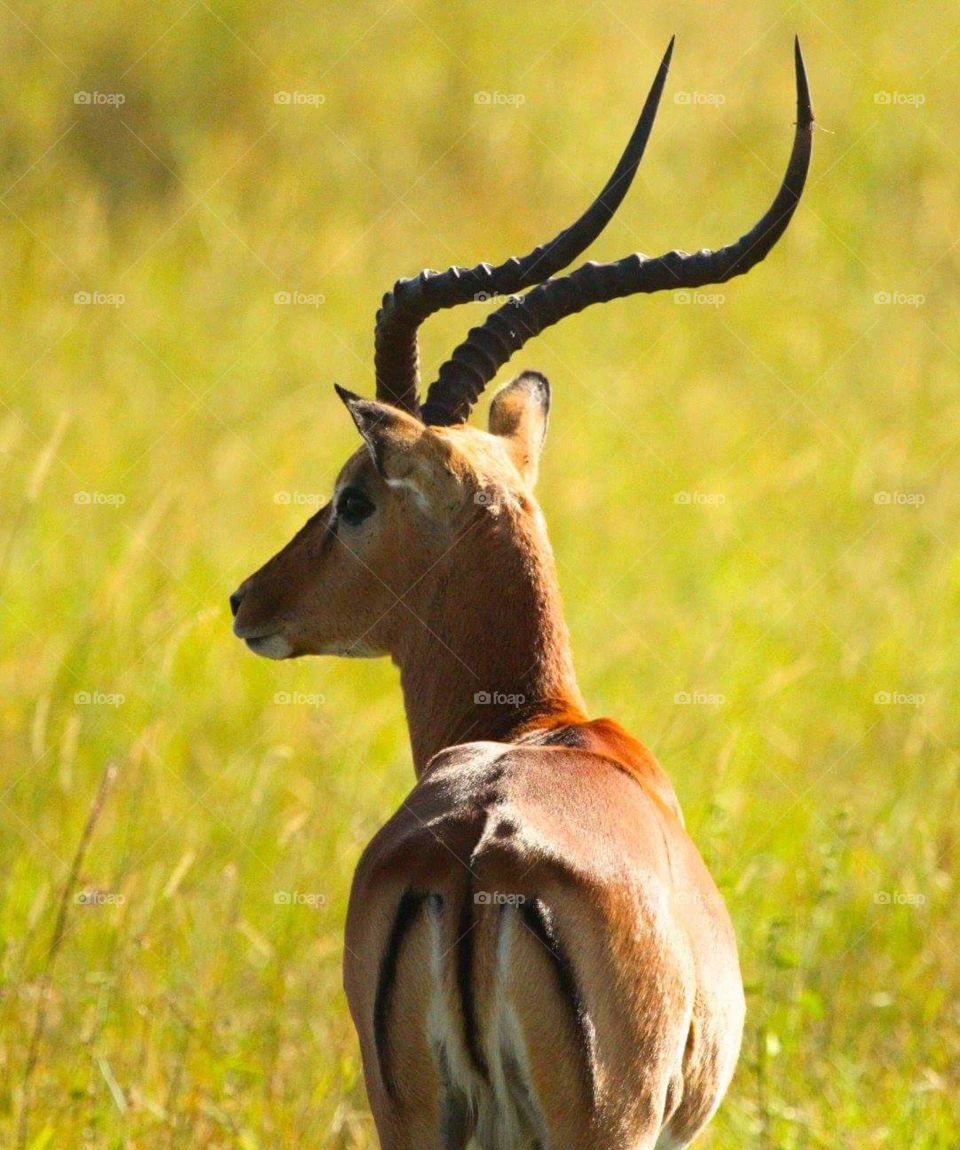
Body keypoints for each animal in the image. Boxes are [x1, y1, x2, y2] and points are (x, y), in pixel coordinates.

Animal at [230, 38, 812, 1150]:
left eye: (353, 496)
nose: (248, 599)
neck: (544, 725)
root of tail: (478, 851)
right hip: (605, 1125)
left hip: (412, 1120)